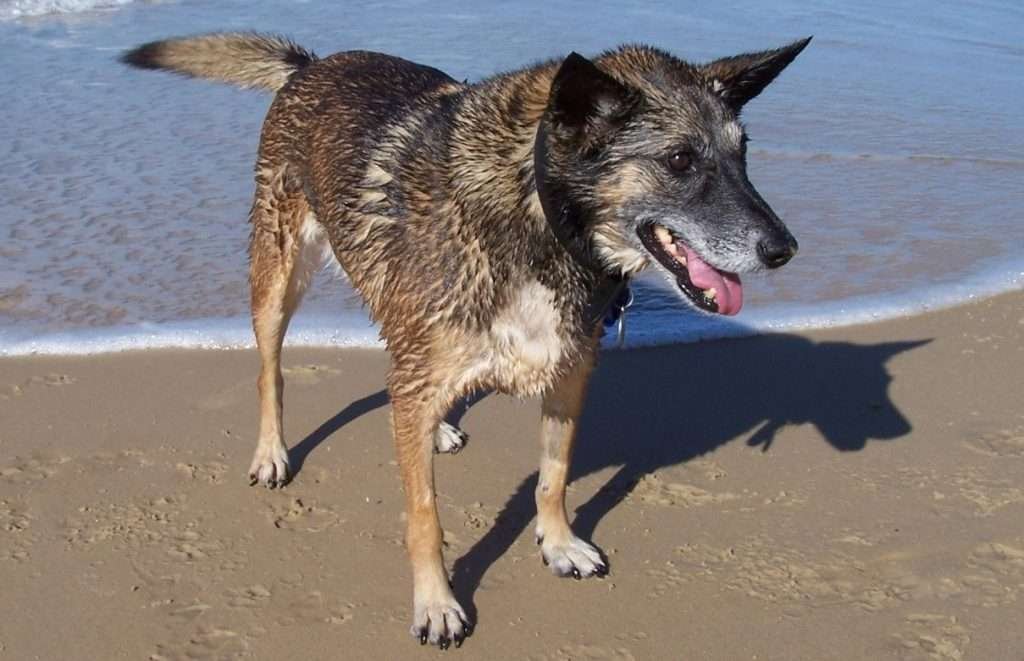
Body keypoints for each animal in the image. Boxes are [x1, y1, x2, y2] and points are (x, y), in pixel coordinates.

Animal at [119, 33, 806, 650]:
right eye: (680, 160)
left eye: (743, 155)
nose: (784, 249)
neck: (540, 214)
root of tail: (311, 65)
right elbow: (425, 516)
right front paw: (436, 603)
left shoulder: (569, 374)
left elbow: (554, 475)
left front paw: (558, 543)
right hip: (278, 280)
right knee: (272, 371)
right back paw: (273, 452)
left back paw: (440, 427)